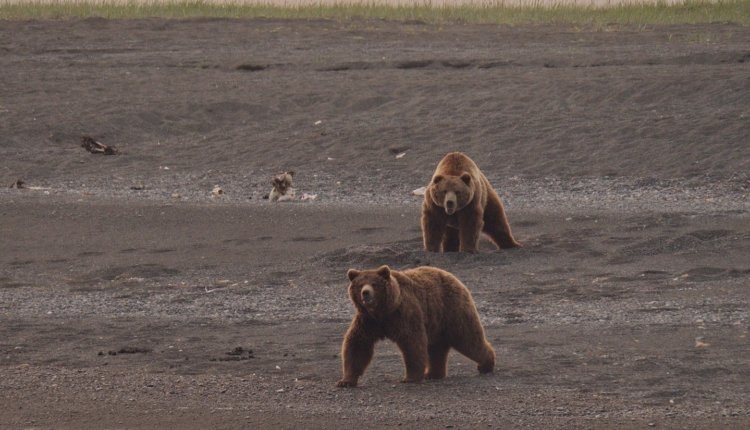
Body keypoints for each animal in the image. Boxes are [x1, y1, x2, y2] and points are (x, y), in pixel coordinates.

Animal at [338, 264, 496, 388]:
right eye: (360, 285)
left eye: (374, 284)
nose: (366, 293)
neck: (383, 311)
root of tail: (452, 276)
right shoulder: (368, 321)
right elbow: (357, 344)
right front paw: (345, 381)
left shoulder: (403, 314)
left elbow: (412, 342)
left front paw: (410, 377)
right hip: (436, 322)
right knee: (436, 347)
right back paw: (432, 373)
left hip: (453, 309)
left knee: (468, 338)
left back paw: (486, 365)